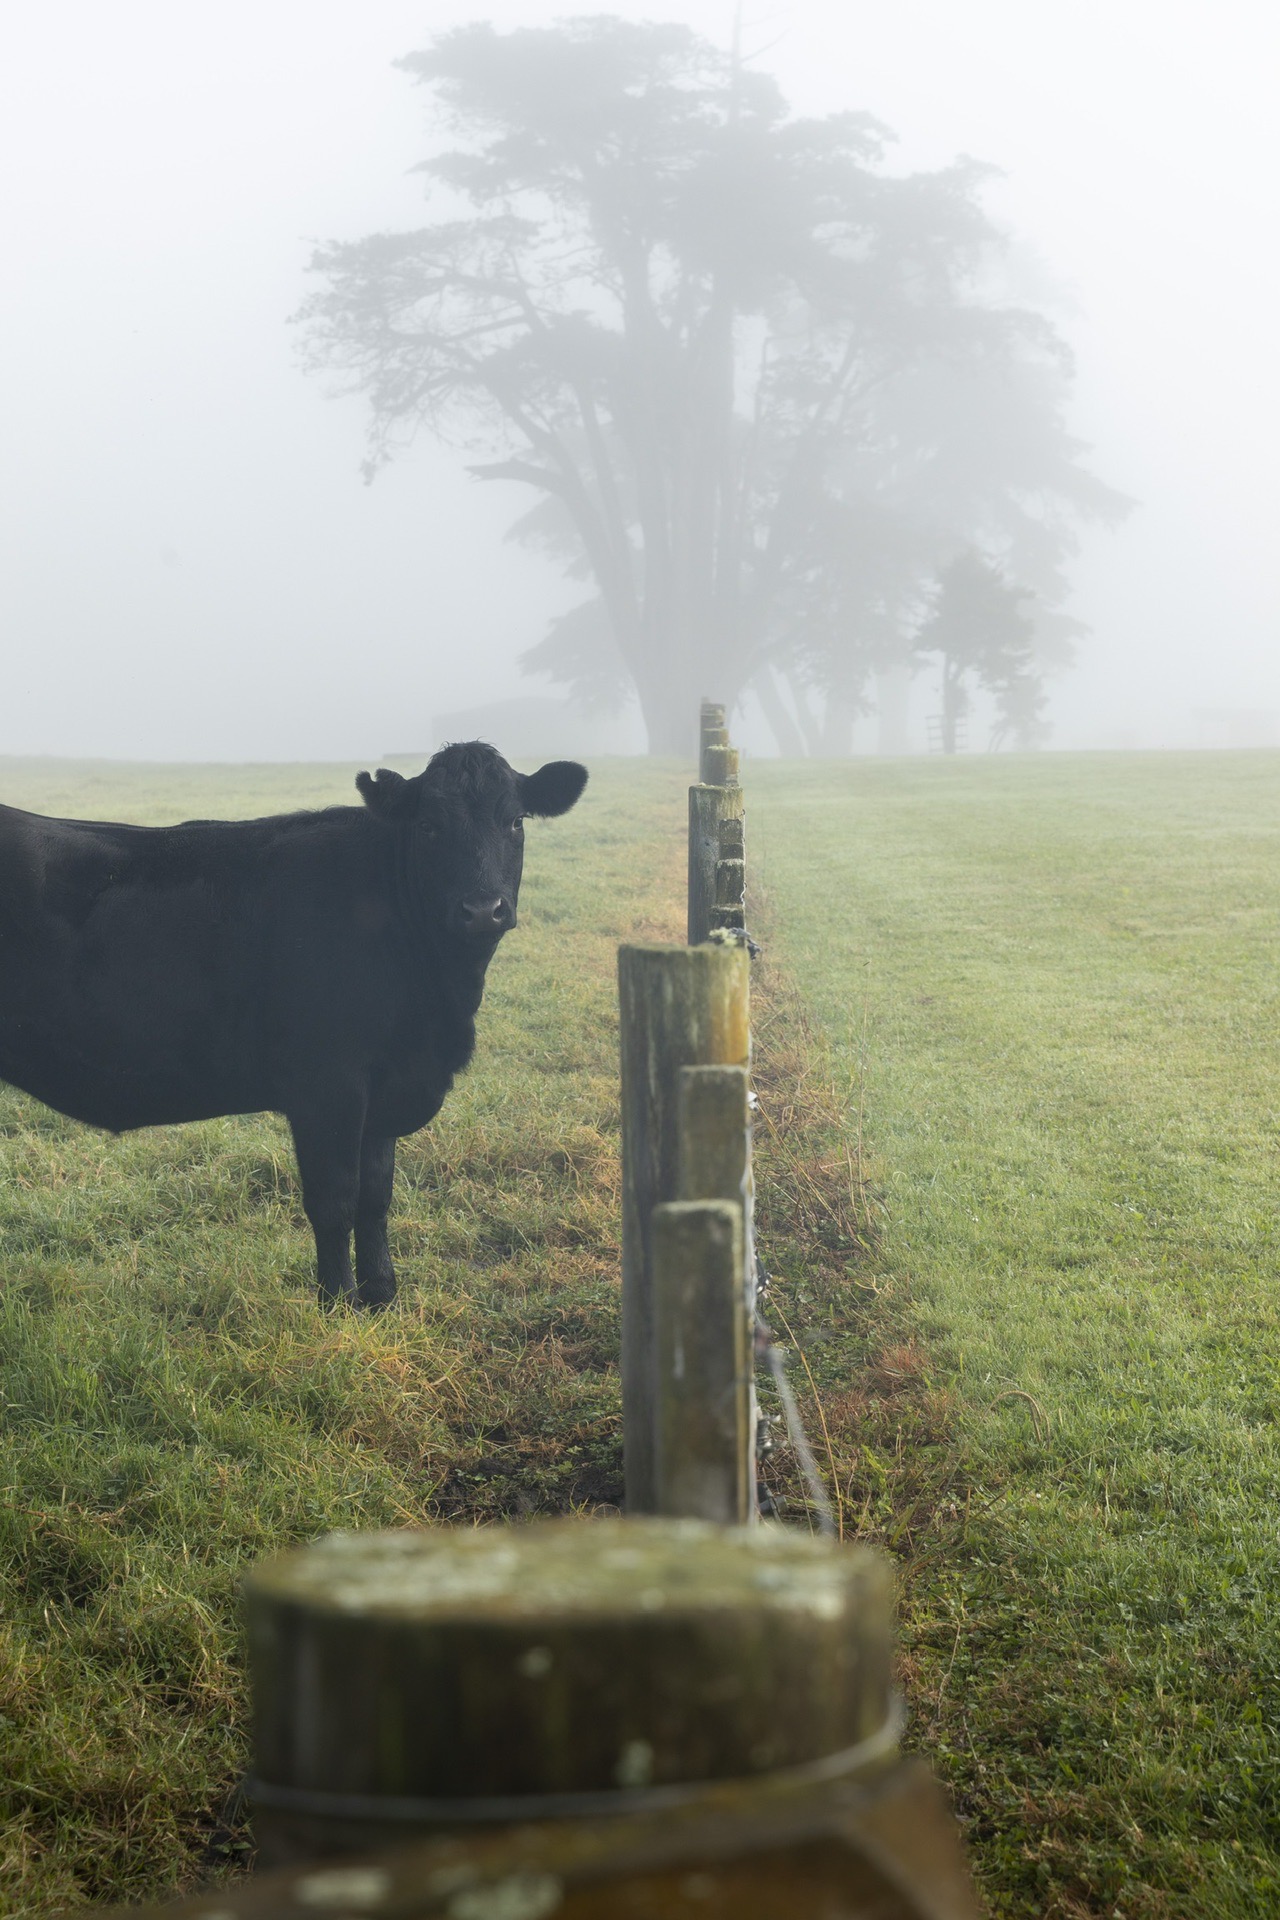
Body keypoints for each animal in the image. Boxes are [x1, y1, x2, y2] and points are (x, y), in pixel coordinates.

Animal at [0, 741, 587, 1313]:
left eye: (516, 821)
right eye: (428, 825)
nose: (483, 910)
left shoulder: (385, 1086)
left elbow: (376, 1197)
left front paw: (382, 1298)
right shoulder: (328, 1085)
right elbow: (335, 1202)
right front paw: (338, 1306)